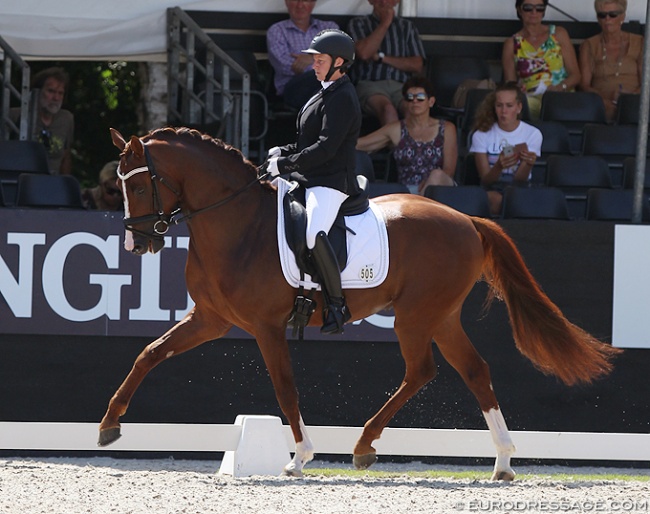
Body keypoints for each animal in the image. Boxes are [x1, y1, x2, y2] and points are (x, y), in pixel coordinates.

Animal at [98, 126, 620, 478]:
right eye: (121, 184)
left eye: (139, 184)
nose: (137, 245)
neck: (237, 225)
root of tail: (467, 220)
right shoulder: (210, 319)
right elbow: (149, 354)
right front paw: (109, 425)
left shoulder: (266, 326)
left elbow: (285, 388)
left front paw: (299, 458)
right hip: (441, 316)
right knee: (473, 370)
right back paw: (503, 462)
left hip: (416, 316)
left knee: (421, 370)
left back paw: (365, 446)